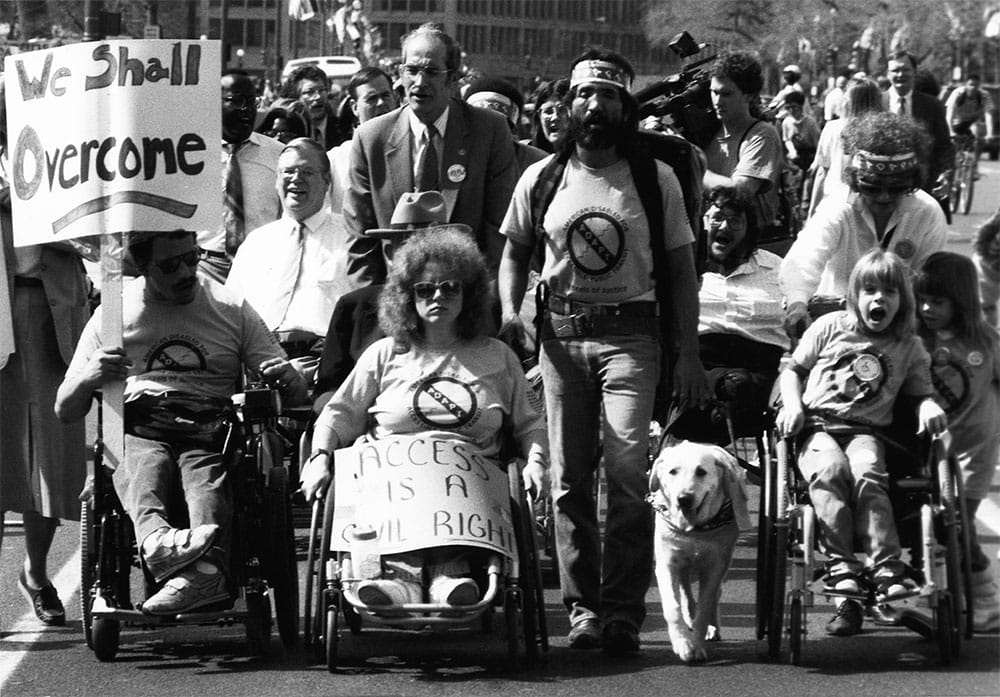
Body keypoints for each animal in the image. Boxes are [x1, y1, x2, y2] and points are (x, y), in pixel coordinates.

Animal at [648, 438, 752, 660]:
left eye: (701, 472)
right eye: (673, 471)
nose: (684, 498)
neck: (695, 531)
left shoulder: (714, 567)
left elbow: (705, 608)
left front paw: (696, 643)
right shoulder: (667, 564)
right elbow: (673, 607)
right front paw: (682, 643)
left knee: (715, 596)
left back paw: (713, 628)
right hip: (684, 566)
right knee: (686, 594)